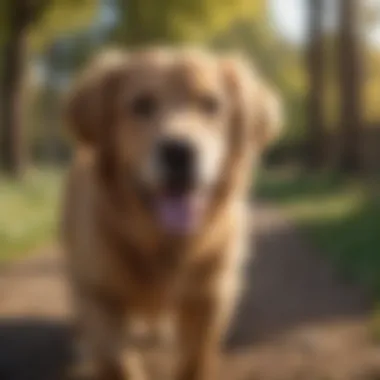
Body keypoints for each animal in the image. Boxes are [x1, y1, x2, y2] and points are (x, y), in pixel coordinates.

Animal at [61, 47, 282, 380]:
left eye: (211, 104)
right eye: (141, 104)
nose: (180, 152)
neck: (163, 243)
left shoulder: (210, 297)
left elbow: (195, 359)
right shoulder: (99, 295)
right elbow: (117, 360)